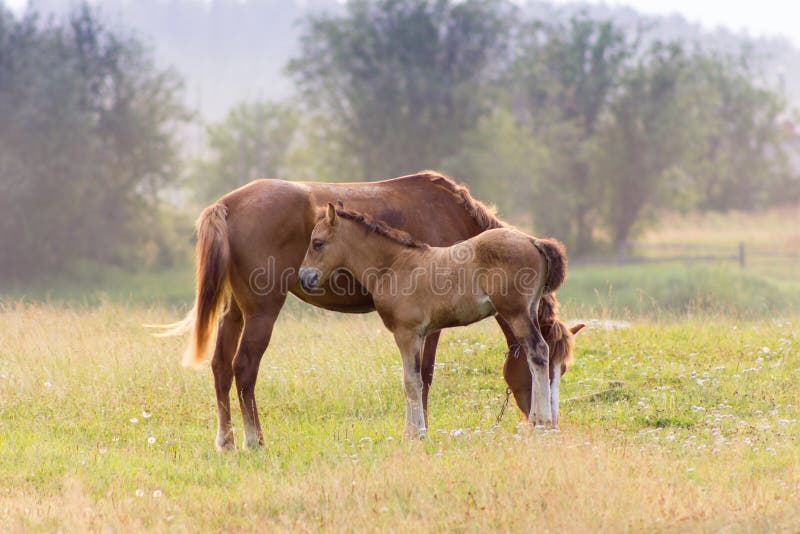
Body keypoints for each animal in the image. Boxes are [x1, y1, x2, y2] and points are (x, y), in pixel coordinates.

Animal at [298, 203, 569, 434]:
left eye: (317, 243)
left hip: (516, 312)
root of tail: (533, 241)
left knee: (538, 351)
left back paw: (542, 421)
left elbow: (410, 381)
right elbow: (417, 379)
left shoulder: (406, 333)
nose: (303, 277)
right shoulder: (420, 334)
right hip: (529, 310)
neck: (393, 266)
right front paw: (417, 430)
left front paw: (413, 434)